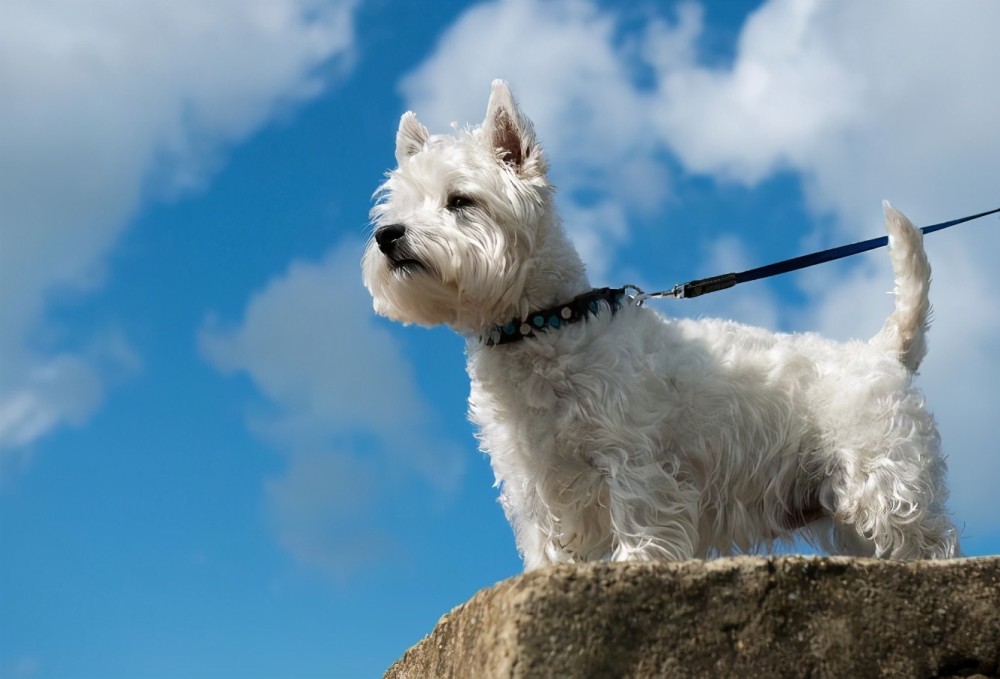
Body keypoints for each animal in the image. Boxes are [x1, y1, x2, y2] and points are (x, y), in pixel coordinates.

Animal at [364, 79, 956, 568]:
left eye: (460, 200)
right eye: (399, 205)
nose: (387, 236)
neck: (544, 325)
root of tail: (884, 351)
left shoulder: (631, 457)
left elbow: (640, 523)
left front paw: (633, 567)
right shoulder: (533, 481)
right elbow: (546, 544)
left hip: (884, 483)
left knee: (927, 541)